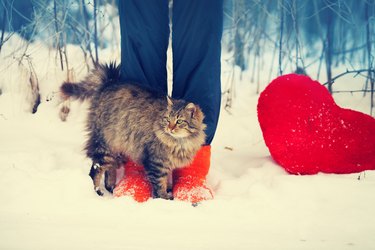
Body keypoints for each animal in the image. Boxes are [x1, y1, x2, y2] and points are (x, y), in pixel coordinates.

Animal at [59, 63, 207, 199]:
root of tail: (109, 82)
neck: (180, 142)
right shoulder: (157, 164)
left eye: (179, 121)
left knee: (110, 168)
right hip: (104, 144)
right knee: (96, 170)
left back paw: (111, 188)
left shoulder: (166, 164)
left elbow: (166, 181)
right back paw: (99, 193)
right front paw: (164, 198)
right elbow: (159, 185)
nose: (169, 128)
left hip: (114, 146)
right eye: (167, 119)